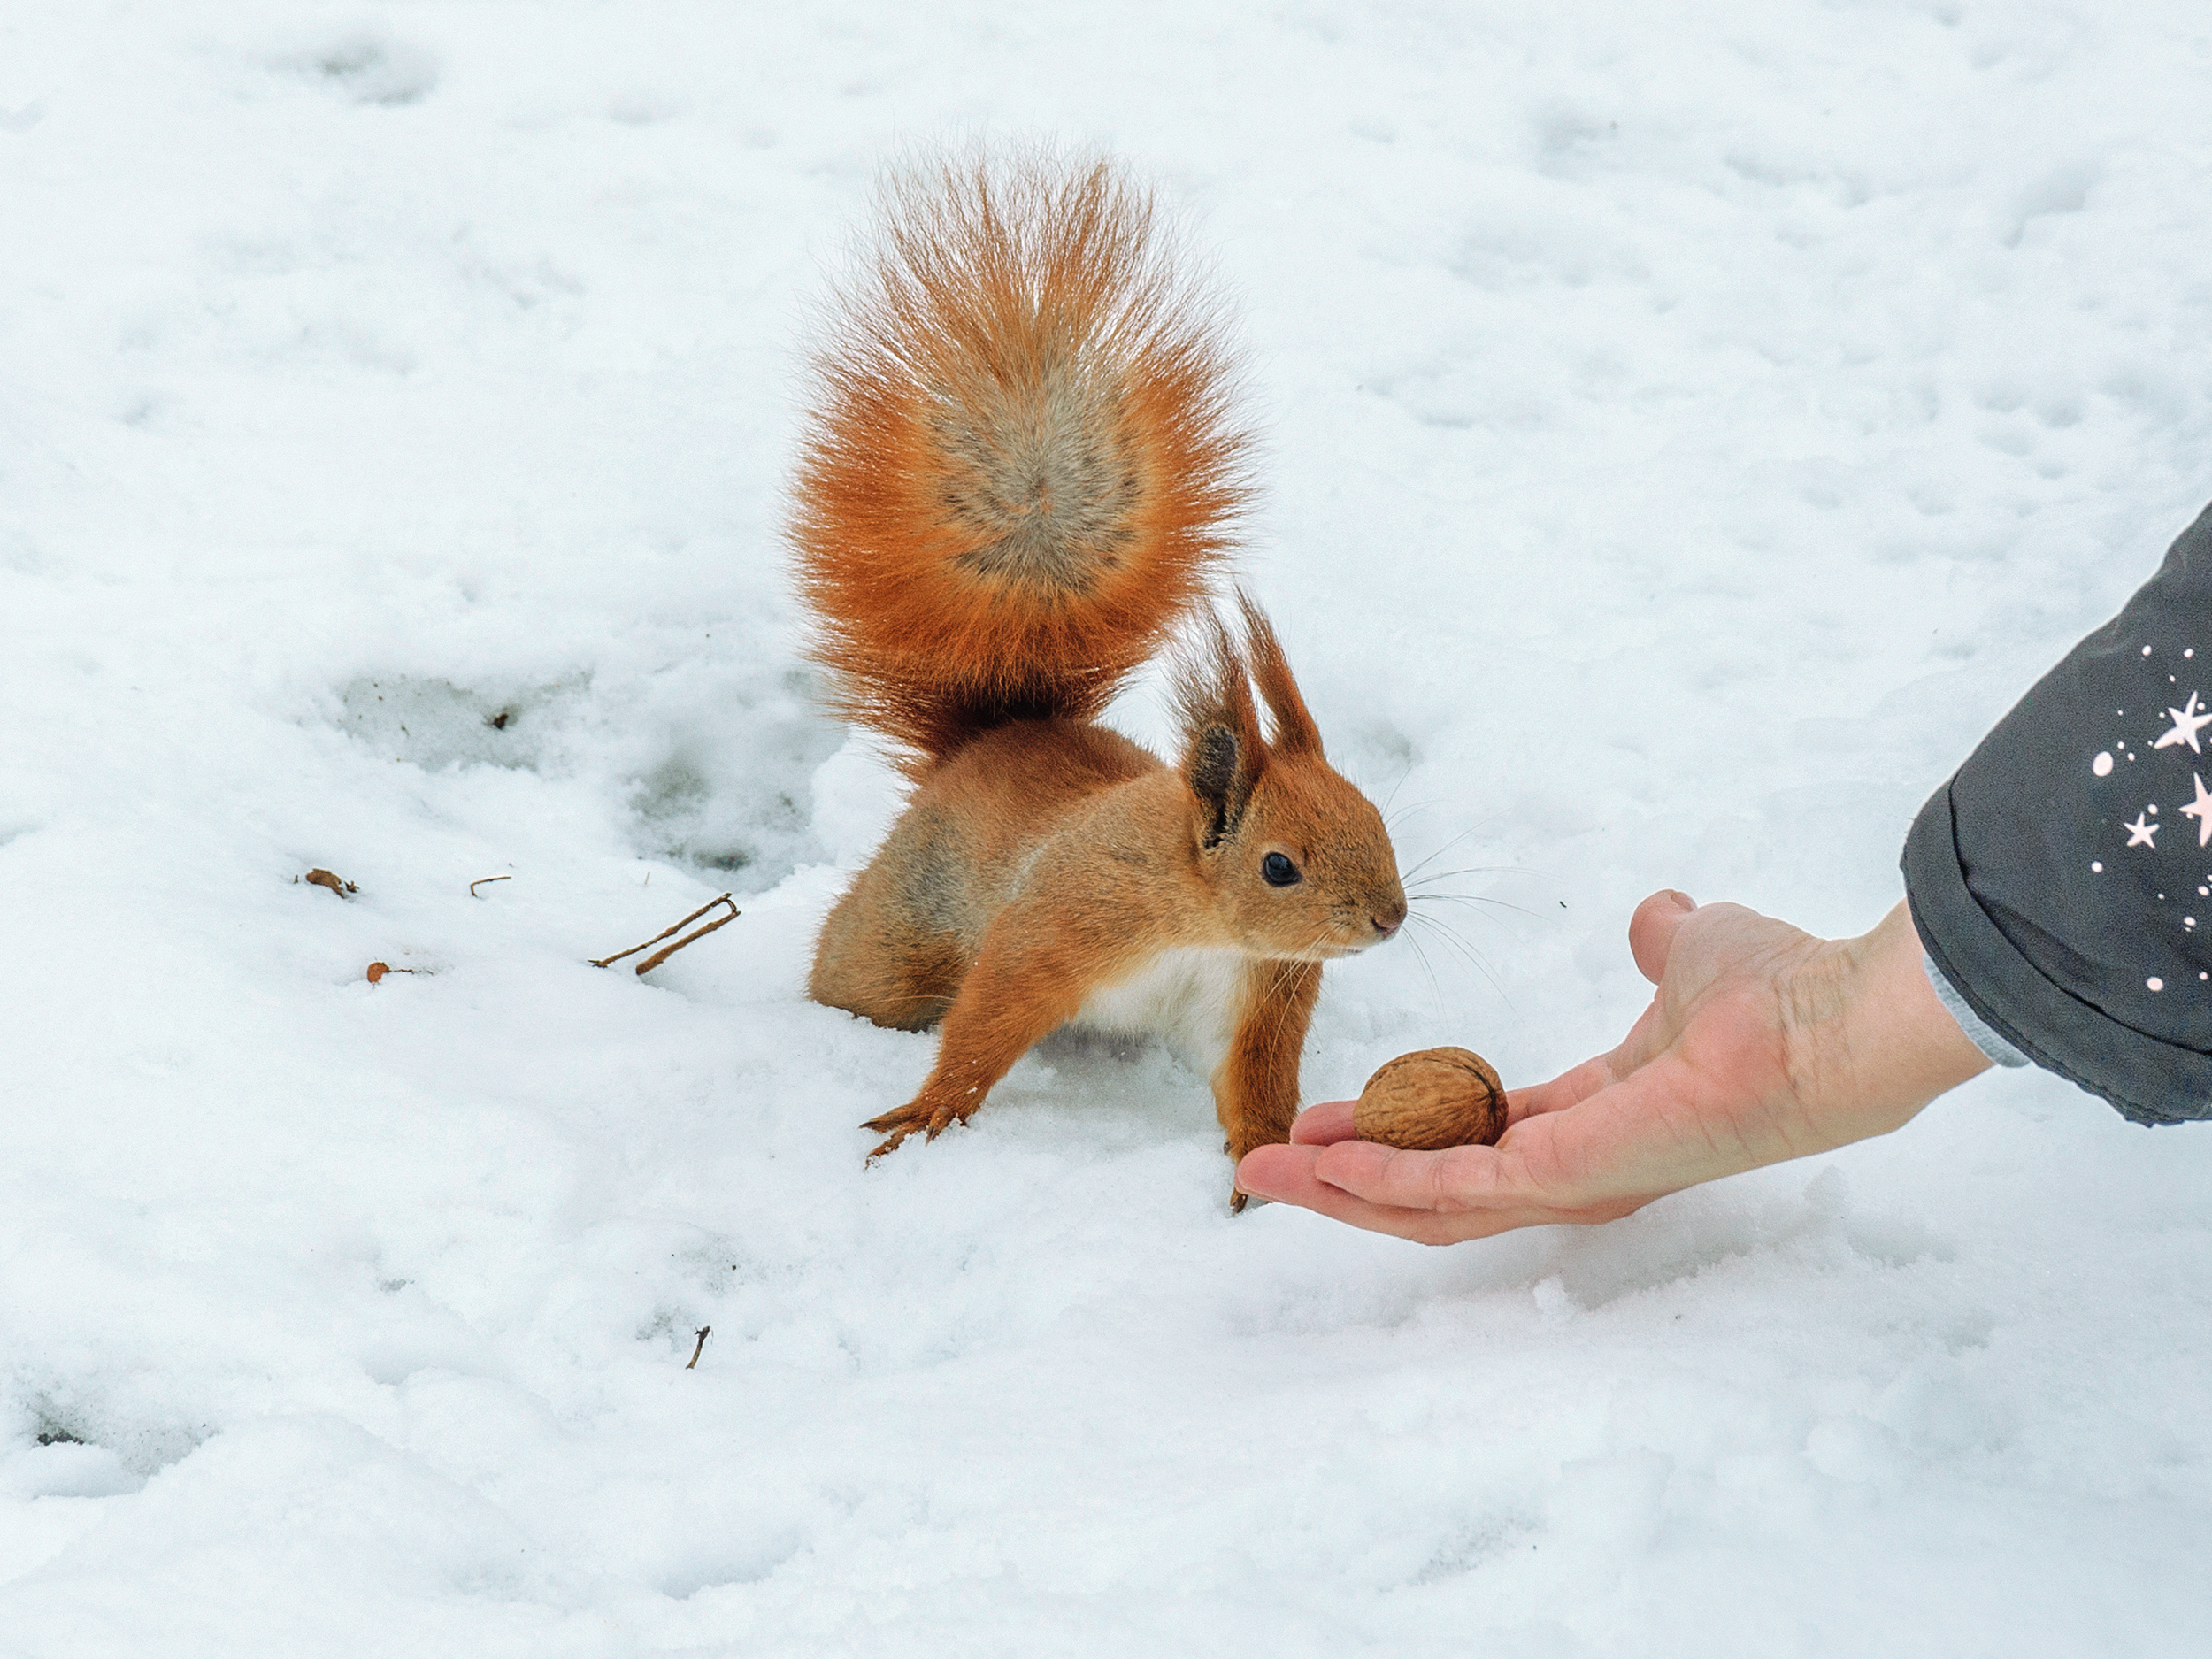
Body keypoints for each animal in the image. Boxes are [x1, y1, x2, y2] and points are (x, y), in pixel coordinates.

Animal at [792, 149, 1398, 1203]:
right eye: (1278, 866)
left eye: (1376, 817)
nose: (1389, 919)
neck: (1200, 919)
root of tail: (995, 738)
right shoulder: (1062, 922)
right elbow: (990, 1017)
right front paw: (930, 1113)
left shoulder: (1258, 990)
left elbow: (1252, 1079)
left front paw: (1261, 1168)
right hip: (901, 928)